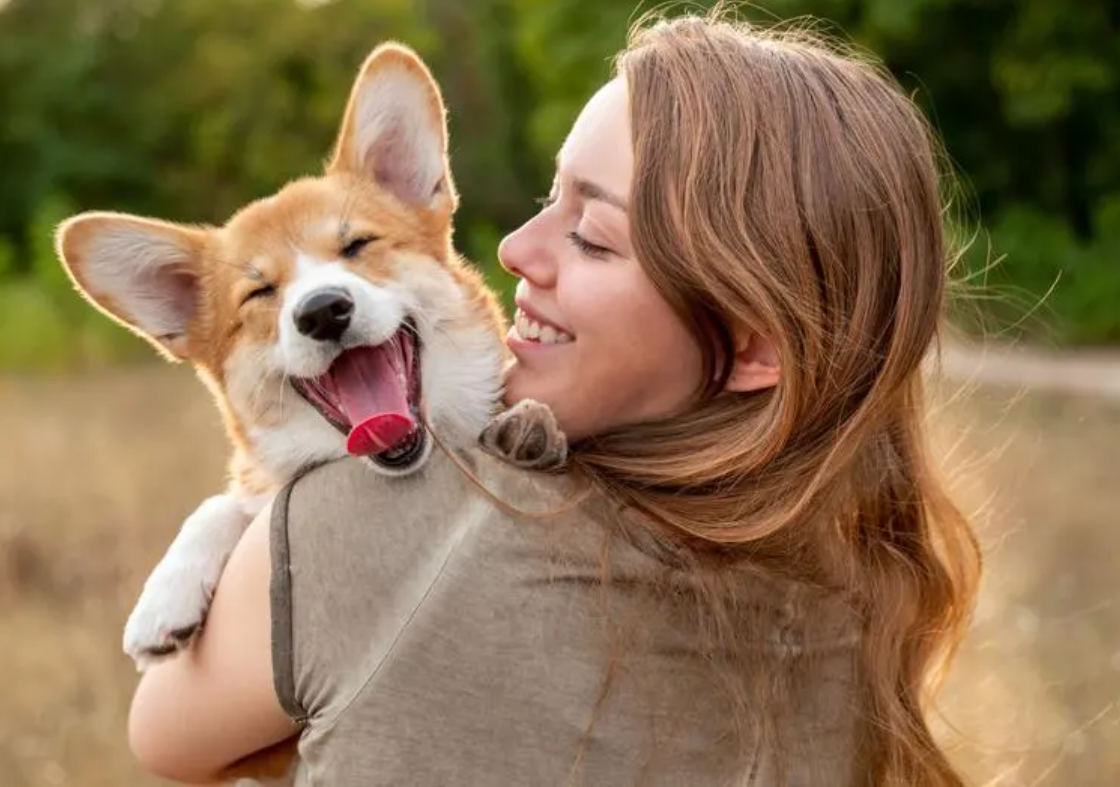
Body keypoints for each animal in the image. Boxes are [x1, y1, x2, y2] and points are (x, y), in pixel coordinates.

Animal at [54, 38, 560, 707]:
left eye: (357, 246)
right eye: (260, 292)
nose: (322, 311)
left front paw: (528, 427)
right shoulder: (260, 486)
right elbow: (222, 504)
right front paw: (164, 597)